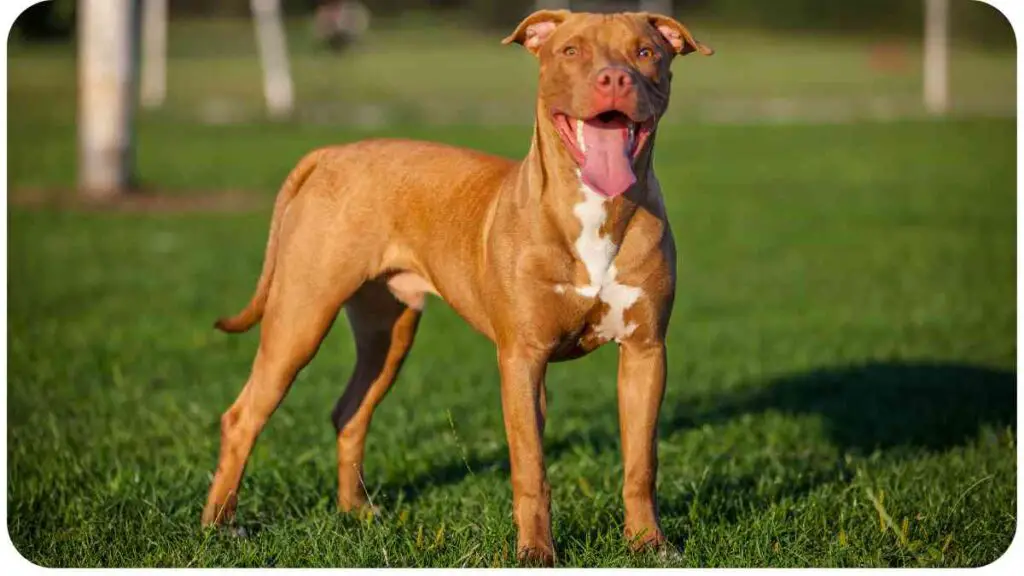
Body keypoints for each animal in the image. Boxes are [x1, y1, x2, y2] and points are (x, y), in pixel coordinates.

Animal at [200, 8, 712, 565]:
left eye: (646, 52)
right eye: (571, 50)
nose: (614, 79)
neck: (597, 210)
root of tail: (332, 153)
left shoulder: (645, 353)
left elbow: (642, 462)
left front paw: (648, 544)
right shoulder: (523, 358)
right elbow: (531, 468)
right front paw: (536, 552)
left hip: (388, 334)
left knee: (350, 411)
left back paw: (356, 511)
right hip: (301, 318)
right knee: (244, 416)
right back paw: (219, 526)